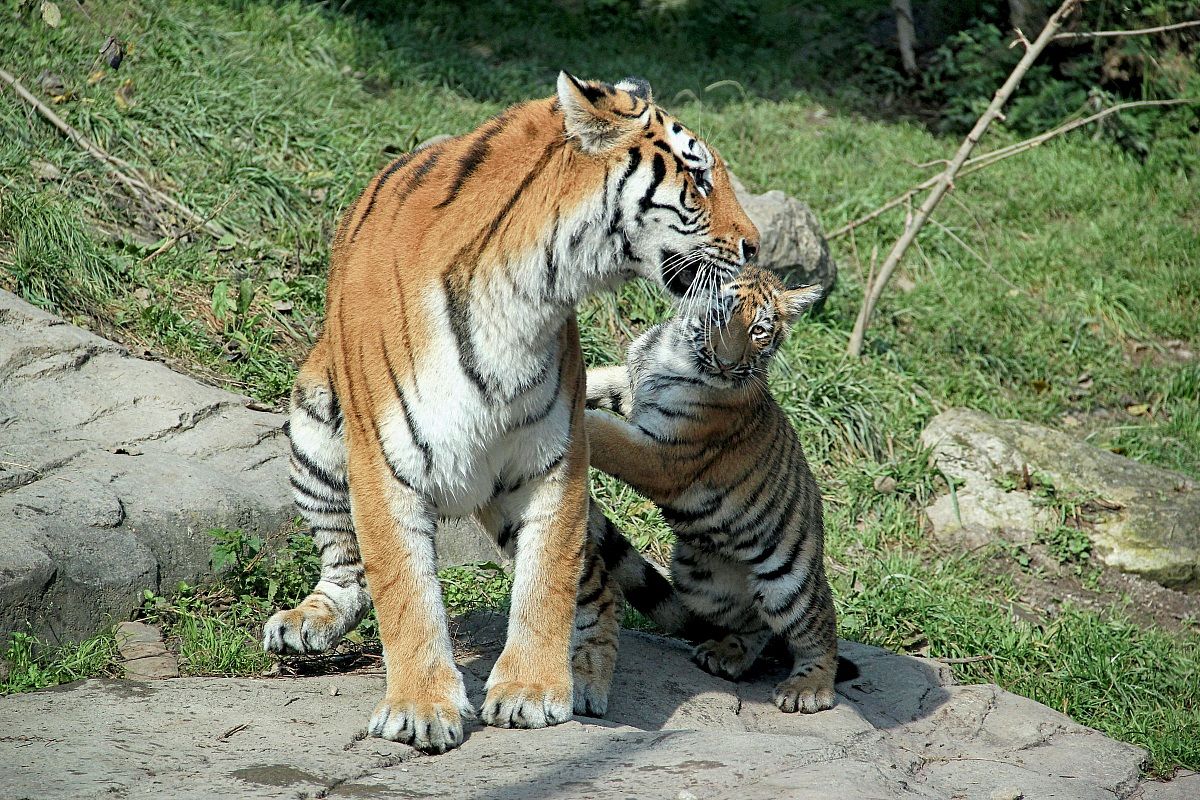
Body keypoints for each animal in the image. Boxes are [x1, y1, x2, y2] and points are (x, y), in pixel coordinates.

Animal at [261, 72, 759, 753]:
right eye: (699, 178)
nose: (755, 247)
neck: (529, 291)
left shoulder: (554, 458)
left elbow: (546, 578)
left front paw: (532, 691)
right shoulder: (384, 464)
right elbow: (403, 588)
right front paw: (421, 706)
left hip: (501, 493)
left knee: (598, 585)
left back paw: (586, 676)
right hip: (314, 423)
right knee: (348, 570)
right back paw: (308, 619)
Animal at [582, 265, 845, 713]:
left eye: (759, 331)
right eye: (718, 317)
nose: (726, 363)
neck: (673, 355)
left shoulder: (662, 456)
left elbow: (605, 435)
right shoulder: (629, 383)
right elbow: (597, 379)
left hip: (788, 582)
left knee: (820, 627)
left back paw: (808, 688)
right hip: (697, 577)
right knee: (756, 625)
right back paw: (728, 653)